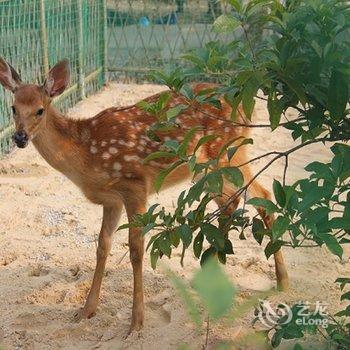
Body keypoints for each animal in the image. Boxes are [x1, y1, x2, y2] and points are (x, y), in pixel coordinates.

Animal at [0, 58, 290, 332]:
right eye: (13, 108)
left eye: (40, 109)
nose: (20, 137)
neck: (86, 154)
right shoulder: (111, 200)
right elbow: (102, 246)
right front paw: (86, 311)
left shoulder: (135, 186)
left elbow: (136, 251)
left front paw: (136, 322)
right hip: (208, 168)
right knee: (234, 200)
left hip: (229, 152)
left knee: (259, 197)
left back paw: (277, 280)